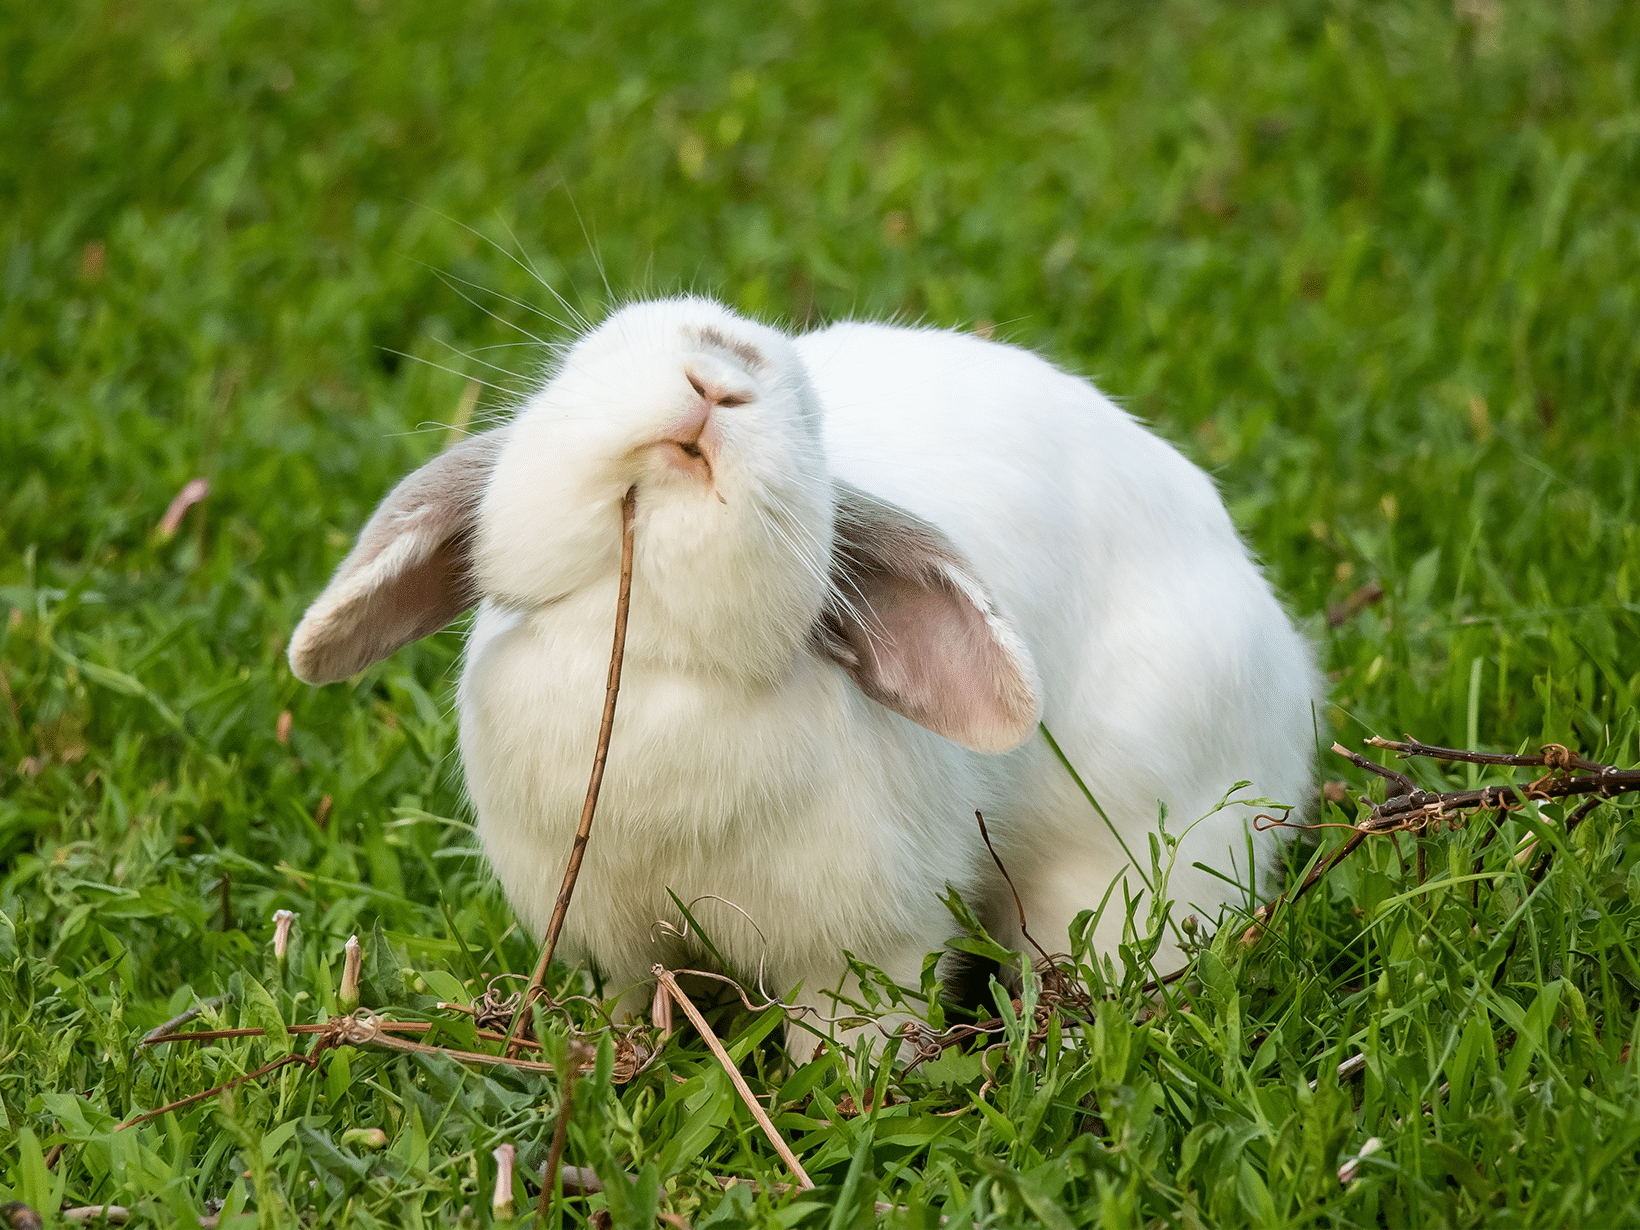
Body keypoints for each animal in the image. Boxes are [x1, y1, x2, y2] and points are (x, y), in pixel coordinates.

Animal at [291, 298, 1318, 1062]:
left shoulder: (868, 947)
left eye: (811, 419)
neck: (651, 652)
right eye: (589, 360)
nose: (723, 368)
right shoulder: (610, 935)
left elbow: (849, 1034)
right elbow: (626, 998)